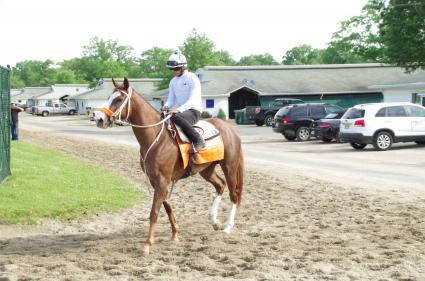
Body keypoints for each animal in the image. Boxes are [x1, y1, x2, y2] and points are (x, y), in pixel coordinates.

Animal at [95, 77, 243, 254]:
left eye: (119, 99)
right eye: (110, 97)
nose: (99, 118)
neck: (157, 138)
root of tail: (229, 129)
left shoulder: (162, 179)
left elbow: (154, 211)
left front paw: (147, 244)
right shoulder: (156, 180)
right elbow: (167, 206)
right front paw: (175, 234)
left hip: (229, 166)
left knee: (233, 194)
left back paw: (228, 227)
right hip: (206, 170)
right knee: (220, 185)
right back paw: (214, 221)